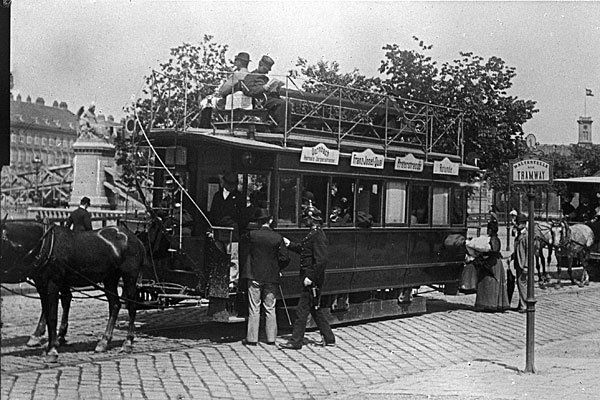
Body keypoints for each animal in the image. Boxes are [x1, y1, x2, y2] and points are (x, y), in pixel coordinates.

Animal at [1, 221, 146, 363]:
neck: (45, 244)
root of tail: (134, 238)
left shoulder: (52, 284)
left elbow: (52, 316)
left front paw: (52, 350)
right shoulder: (41, 286)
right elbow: (47, 313)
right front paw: (49, 343)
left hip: (129, 277)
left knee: (132, 306)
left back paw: (127, 342)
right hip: (110, 279)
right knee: (115, 305)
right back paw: (104, 342)